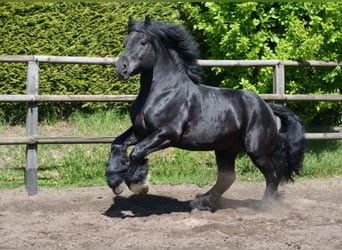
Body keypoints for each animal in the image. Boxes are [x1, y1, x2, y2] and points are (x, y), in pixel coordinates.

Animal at [105, 18, 304, 212]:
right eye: (125, 42)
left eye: (143, 42)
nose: (120, 68)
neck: (163, 92)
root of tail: (267, 107)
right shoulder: (141, 130)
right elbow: (118, 144)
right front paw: (115, 182)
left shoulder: (166, 134)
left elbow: (136, 152)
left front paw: (138, 184)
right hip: (226, 149)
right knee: (228, 178)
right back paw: (201, 203)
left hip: (257, 151)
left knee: (273, 176)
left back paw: (265, 206)